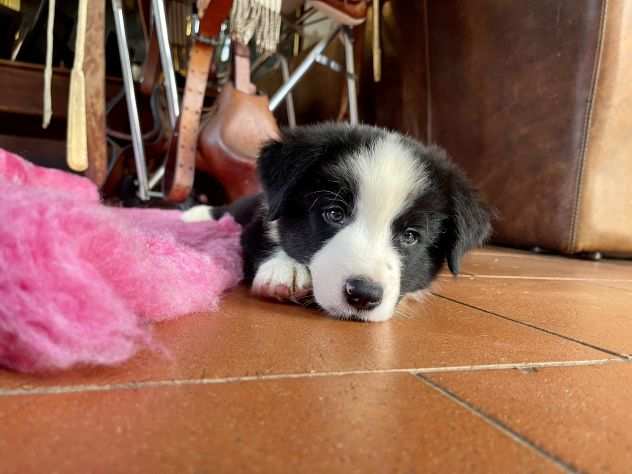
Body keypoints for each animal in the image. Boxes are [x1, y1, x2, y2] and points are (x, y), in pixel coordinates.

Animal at [180, 123, 492, 322]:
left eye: (410, 236)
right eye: (334, 214)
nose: (363, 295)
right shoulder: (259, 220)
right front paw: (286, 270)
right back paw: (191, 214)